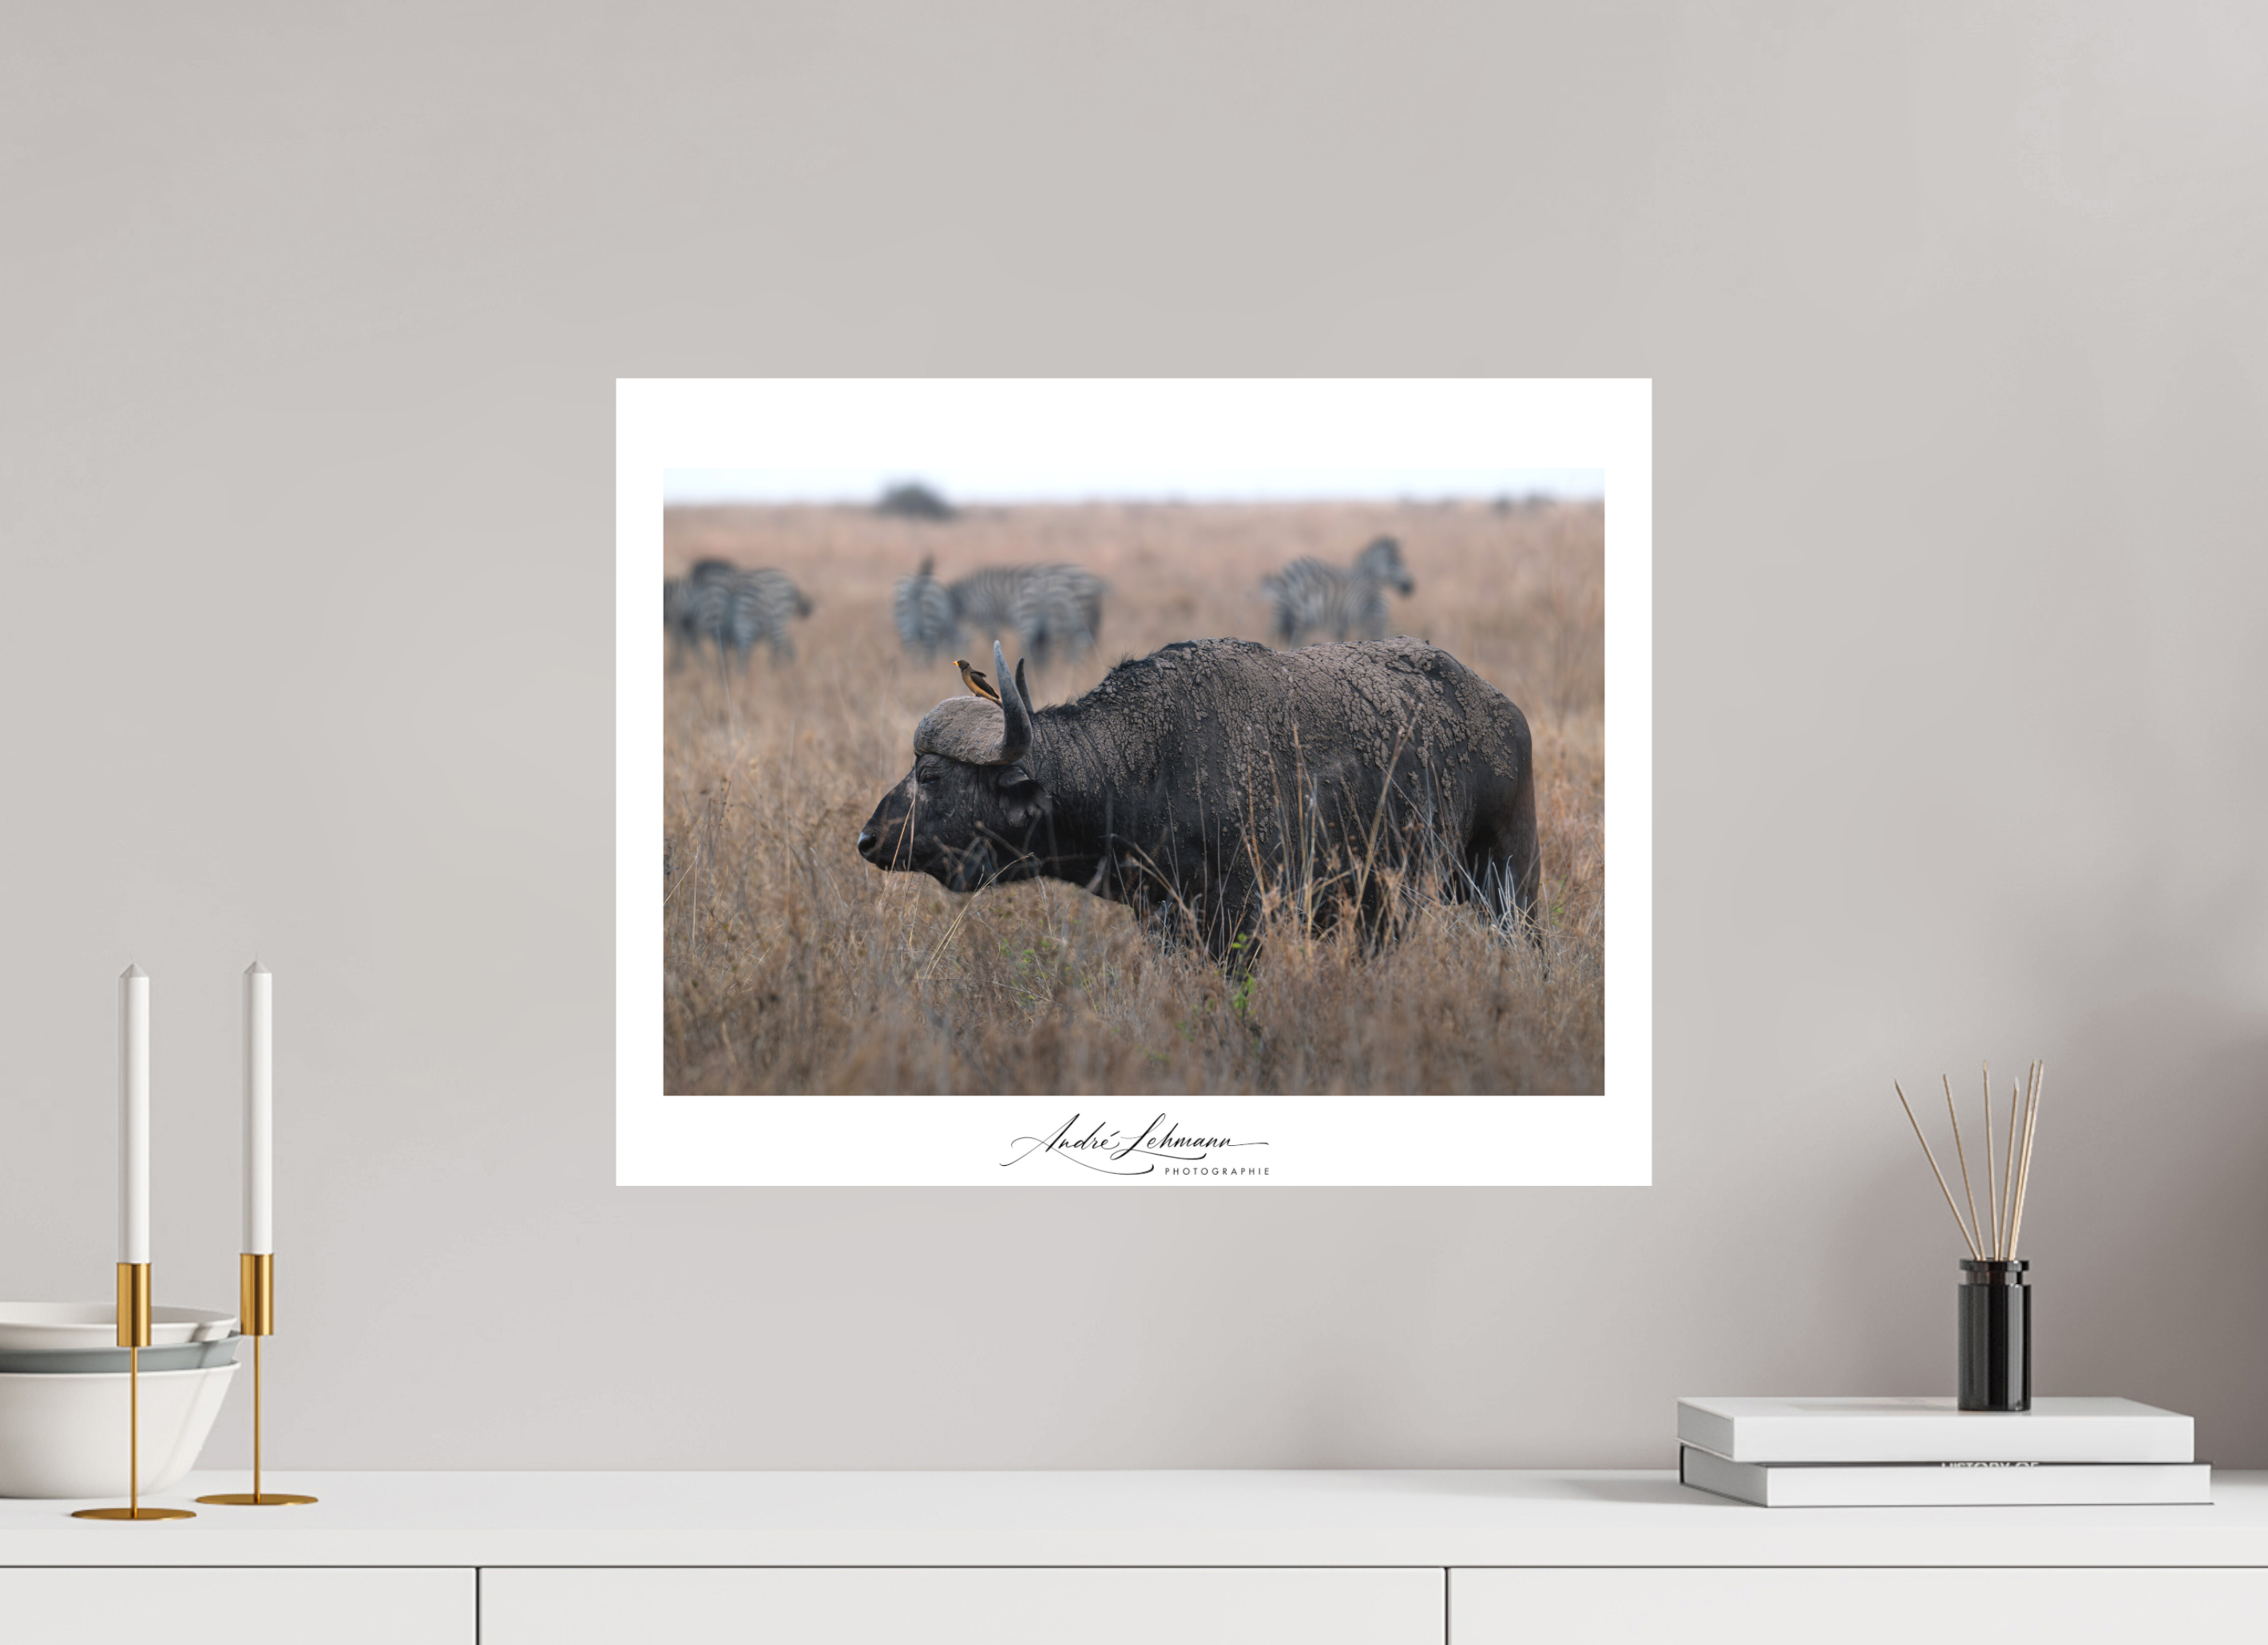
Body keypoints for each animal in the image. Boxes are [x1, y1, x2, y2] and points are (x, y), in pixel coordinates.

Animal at [856, 637, 1540, 960]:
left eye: (930, 775)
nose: (868, 838)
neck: (1147, 764)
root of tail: (1501, 709)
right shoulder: (1165, 921)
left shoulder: (1244, 918)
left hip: (1509, 876)